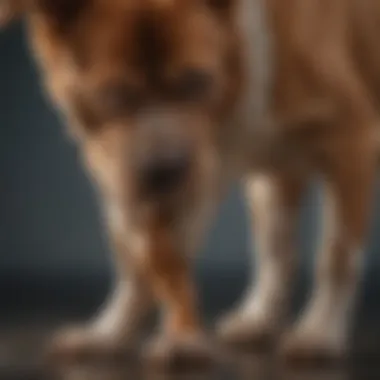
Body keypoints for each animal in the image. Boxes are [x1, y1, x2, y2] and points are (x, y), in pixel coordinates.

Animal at [1, 0, 378, 368]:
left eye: (196, 82)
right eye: (114, 95)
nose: (166, 169)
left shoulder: (352, 142)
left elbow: (337, 254)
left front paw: (320, 331)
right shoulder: (146, 180)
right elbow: (153, 260)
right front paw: (121, 334)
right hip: (274, 172)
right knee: (276, 245)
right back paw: (258, 320)